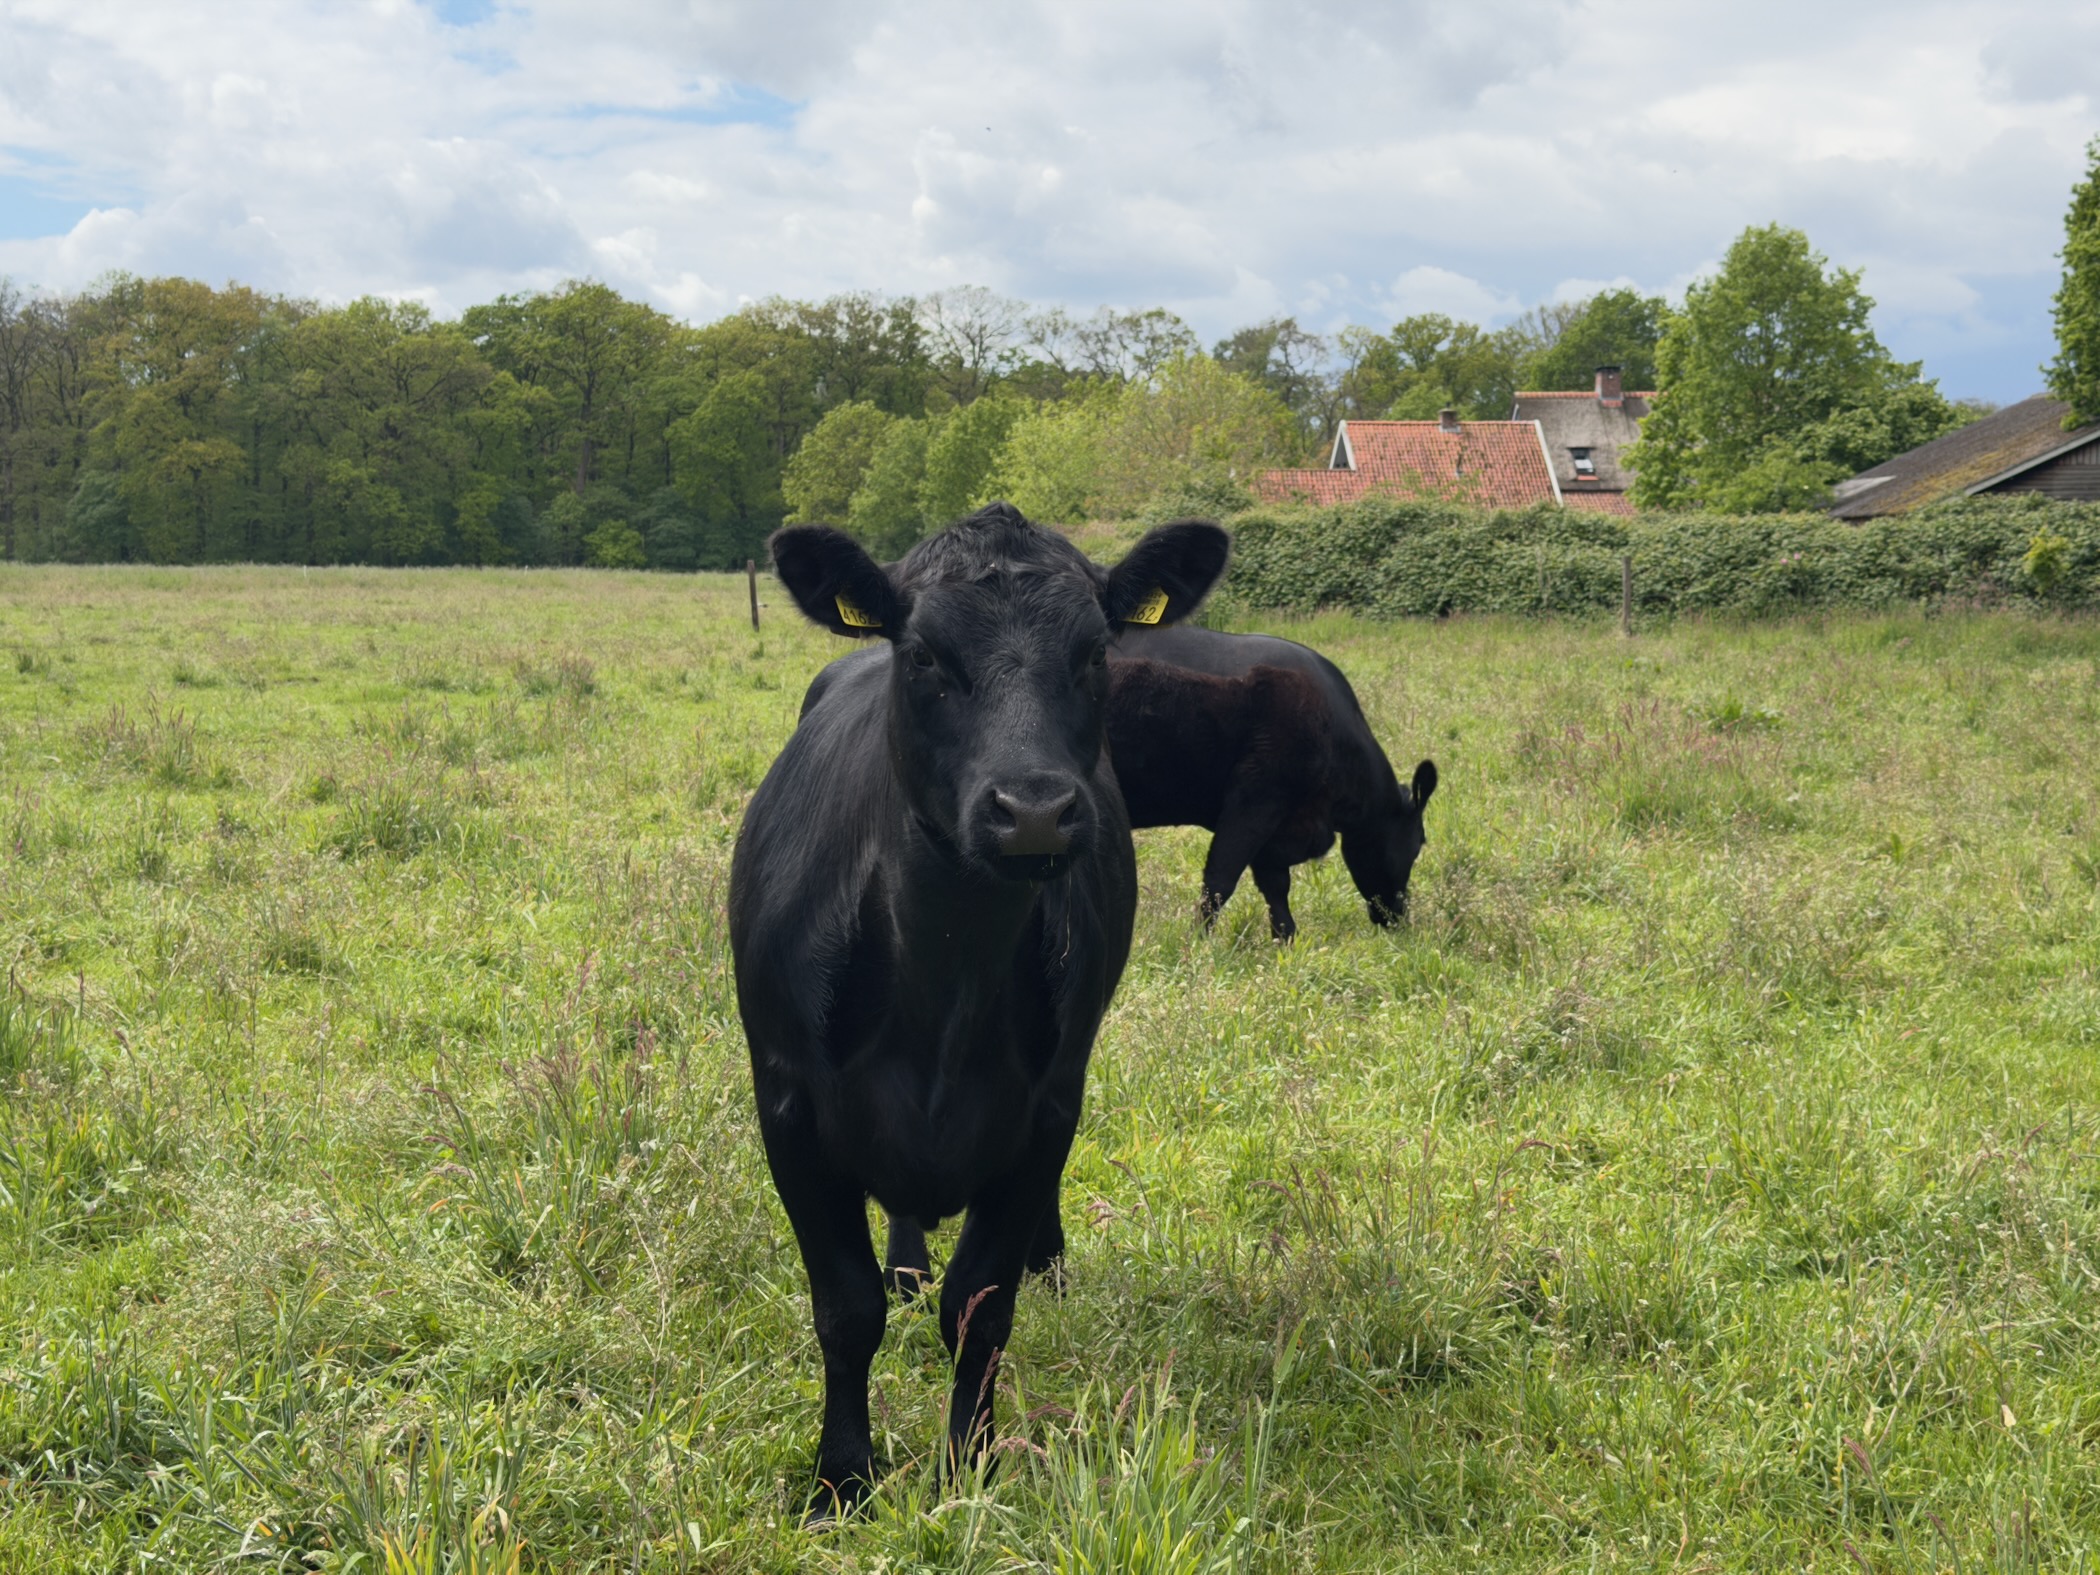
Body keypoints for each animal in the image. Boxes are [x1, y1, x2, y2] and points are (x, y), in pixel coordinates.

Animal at [729, 502, 1230, 1520]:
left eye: (1094, 650)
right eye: (923, 652)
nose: (1032, 810)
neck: (942, 989)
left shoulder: (1044, 1111)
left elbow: (981, 1306)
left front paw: (970, 1467)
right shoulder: (788, 1104)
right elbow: (846, 1309)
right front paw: (842, 1477)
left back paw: (1050, 1256)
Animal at [1106, 625, 1438, 941]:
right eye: (1418, 844)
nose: (1397, 916)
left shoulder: (1276, 826)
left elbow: (1276, 887)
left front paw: (1286, 940)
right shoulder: (1257, 798)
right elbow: (1219, 882)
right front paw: (1197, 945)